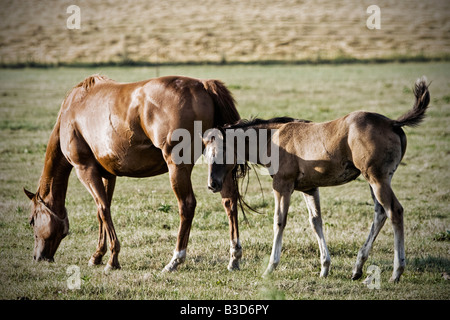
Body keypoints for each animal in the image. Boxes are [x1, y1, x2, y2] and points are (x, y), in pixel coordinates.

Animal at [23, 75, 243, 272]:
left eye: (32, 221)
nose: (37, 257)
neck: (72, 110)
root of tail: (203, 85)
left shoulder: (85, 170)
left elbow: (102, 209)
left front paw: (112, 259)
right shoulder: (108, 175)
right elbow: (102, 211)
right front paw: (97, 255)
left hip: (177, 167)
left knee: (187, 205)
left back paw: (175, 260)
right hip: (219, 166)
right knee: (229, 201)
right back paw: (234, 257)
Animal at [203, 77, 428, 282]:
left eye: (221, 152)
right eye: (206, 155)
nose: (212, 184)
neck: (273, 138)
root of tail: (392, 122)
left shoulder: (282, 185)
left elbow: (279, 221)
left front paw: (270, 267)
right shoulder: (310, 188)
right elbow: (316, 221)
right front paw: (324, 267)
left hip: (377, 179)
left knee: (394, 211)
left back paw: (396, 272)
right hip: (374, 181)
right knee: (380, 213)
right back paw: (358, 268)